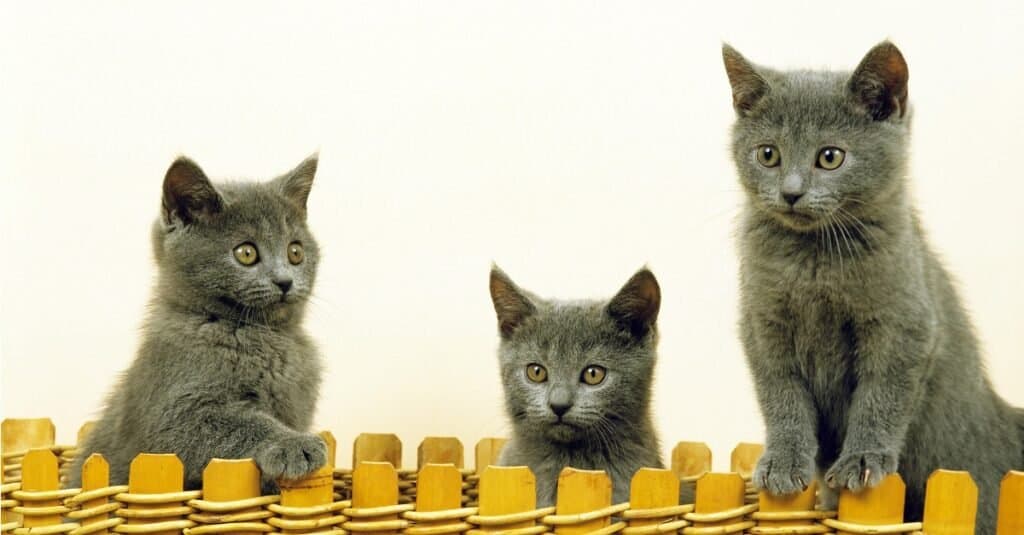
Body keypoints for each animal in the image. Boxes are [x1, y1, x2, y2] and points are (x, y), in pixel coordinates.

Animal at [67, 154, 323, 491]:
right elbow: (241, 423)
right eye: (246, 253)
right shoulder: (171, 416)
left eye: (295, 252)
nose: (284, 281)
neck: (263, 335)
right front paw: (295, 444)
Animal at [724, 42, 1019, 532]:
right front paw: (783, 462)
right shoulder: (763, 326)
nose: (791, 192)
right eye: (767, 154)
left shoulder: (905, 324)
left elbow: (882, 394)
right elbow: (781, 394)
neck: (814, 259)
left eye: (830, 156)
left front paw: (862, 461)